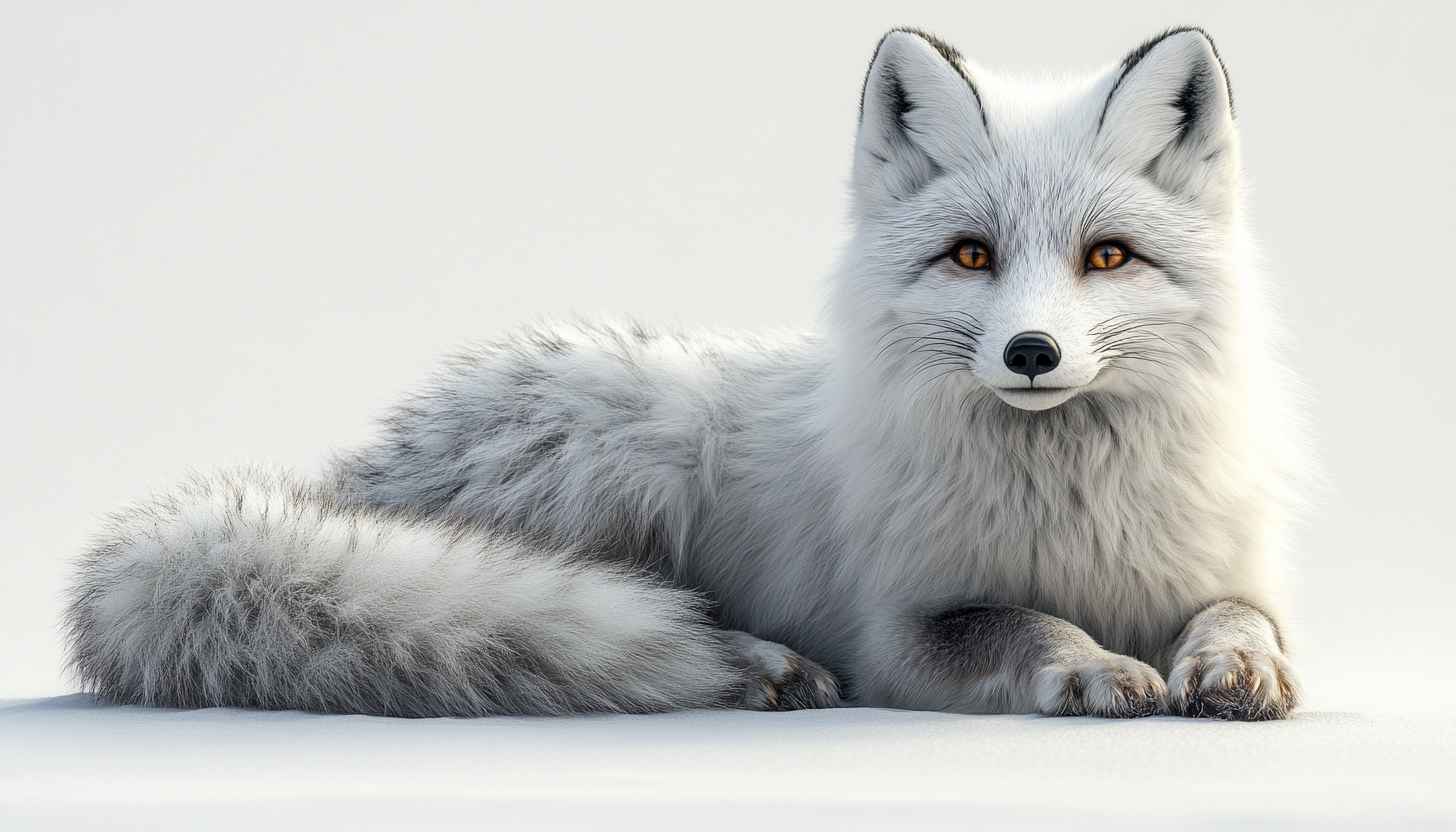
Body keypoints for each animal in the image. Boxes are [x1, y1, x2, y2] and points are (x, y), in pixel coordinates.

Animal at [65, 27, 1304, 720]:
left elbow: (1241, 616)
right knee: (637, 604)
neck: (1071, 504)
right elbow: (1022, 624)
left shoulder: (1216, 571)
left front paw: (1233, 669)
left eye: (1107, 257)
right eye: (970, 257)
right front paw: (1091, 667)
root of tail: (344, 474)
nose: (1031, 354)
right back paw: (751, 662)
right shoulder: (903, 625)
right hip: (639, 437)